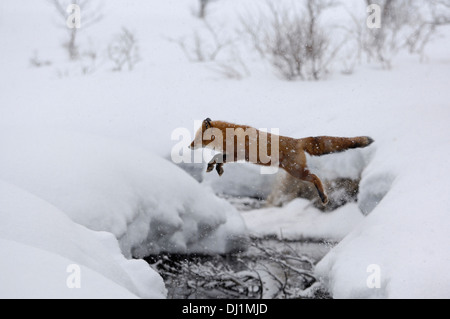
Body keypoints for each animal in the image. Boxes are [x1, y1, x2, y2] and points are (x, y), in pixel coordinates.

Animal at [189, 119, 372, 206]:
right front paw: (216, 168)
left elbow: (218, 156)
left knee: (315, 177)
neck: (228, 135)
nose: (190, 145)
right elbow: (219, 158)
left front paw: (214, 166)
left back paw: (323, 196)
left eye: (197, 138)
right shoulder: (233, 155)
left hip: (297, 171)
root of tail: (297, 141)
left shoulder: (238, 153)